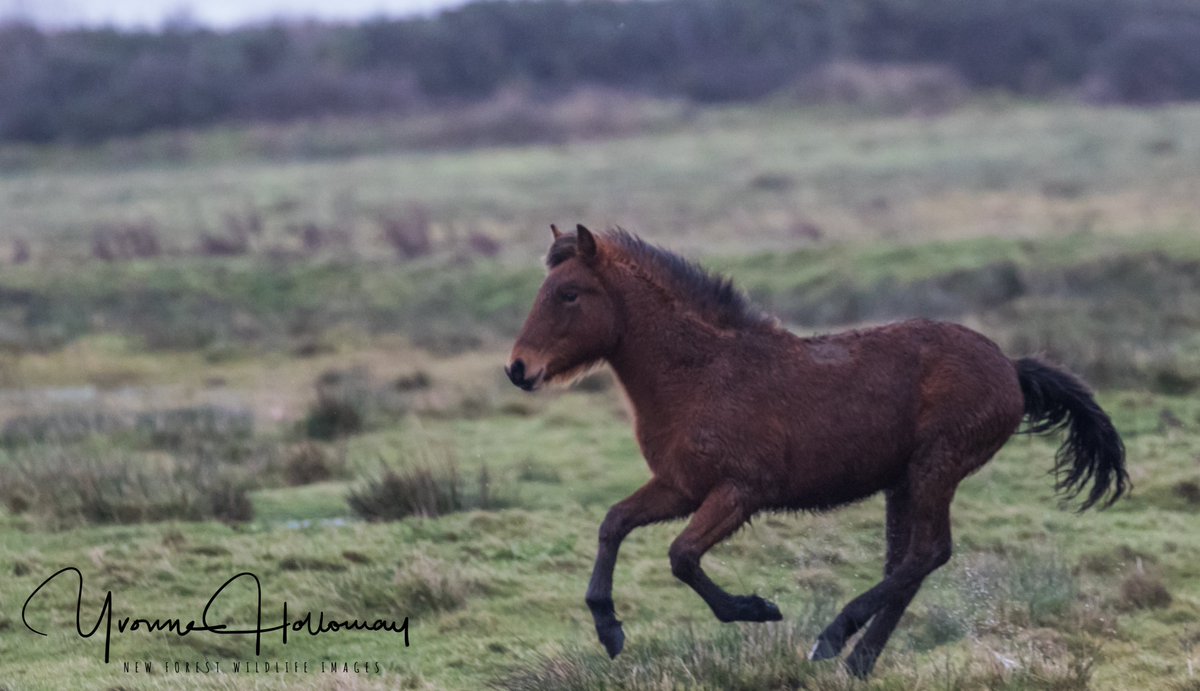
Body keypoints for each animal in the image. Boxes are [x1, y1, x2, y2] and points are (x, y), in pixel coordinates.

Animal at [504, 225, 1123, 676]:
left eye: (568, 293)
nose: (518, 369)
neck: (701, 374)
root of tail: (1011, 369)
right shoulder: (681, 487)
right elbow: (613, 523)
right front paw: (609, 630)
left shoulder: (740, 491)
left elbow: (681, 556)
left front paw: (756, 610)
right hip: (904, 482)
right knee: (909, 563)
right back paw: (858, 662)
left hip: (936, 468)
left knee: (927, 554)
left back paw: (833, 638)